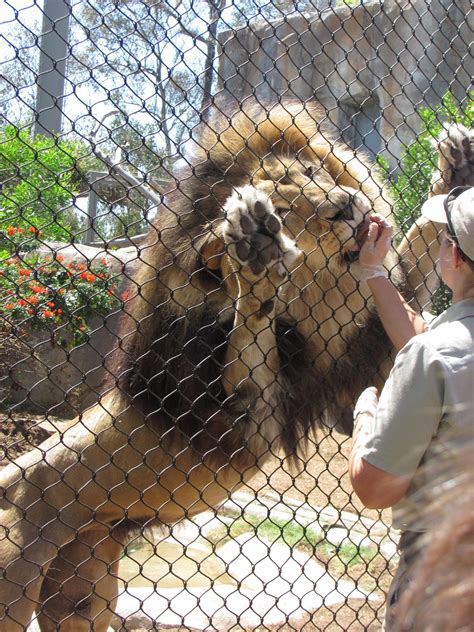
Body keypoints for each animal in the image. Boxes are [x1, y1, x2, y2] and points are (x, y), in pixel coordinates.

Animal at [0, 101, 470, 628]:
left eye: (312, 173)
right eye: (285, 213)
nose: (346, 207)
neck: (323, 291)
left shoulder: (368, 331)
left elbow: (415, 254)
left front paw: (453, 171)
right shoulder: (243, 416)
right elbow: (251, 328)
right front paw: (253, 255)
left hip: (85, 588)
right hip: (15, 578)